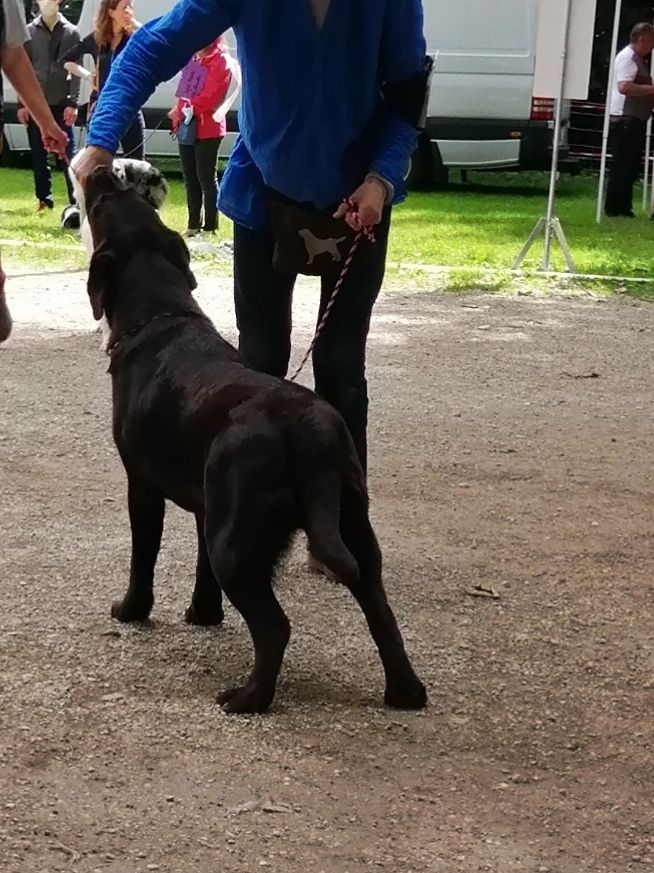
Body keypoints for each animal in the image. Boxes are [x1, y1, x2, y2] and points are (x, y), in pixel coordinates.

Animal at [86, 167, 426, 712]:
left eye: (100, 208)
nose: (101, 170)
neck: (162, 315)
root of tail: (315, 433)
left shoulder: (142, 485)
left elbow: (144, 556)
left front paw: (132, 609)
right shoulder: (207, 503)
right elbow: (200, 567)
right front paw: (203, 613)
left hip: (237, 542)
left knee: (275, 627)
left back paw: (248, 697)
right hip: (350, 526)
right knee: (380, 610)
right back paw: (405, 691)